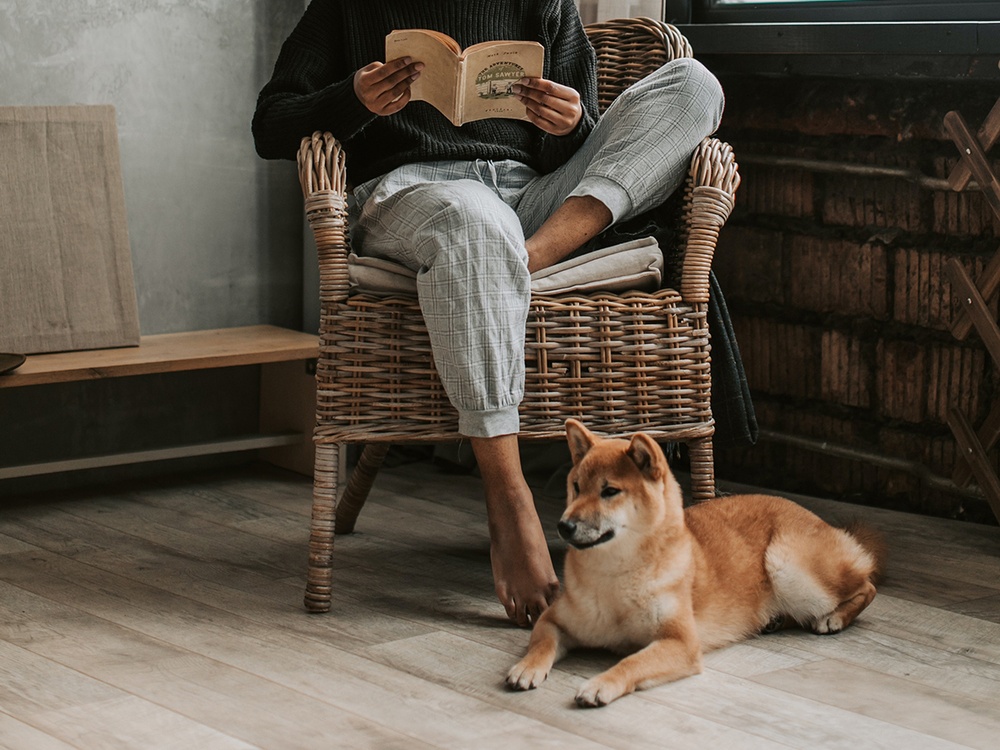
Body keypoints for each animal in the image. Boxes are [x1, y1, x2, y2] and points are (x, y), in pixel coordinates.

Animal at [508, 420, 884, 708]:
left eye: (610, 491)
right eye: (575, 486)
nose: (564, 525)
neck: (615, 575)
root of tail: (821, 520)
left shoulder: (680, 642)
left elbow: (631, 661)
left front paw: (601, 683)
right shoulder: (554, 619)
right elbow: (542, 643)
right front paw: (527, 666)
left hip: (787, 565)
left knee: (867, 585)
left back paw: (834, 618)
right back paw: (776, 620)